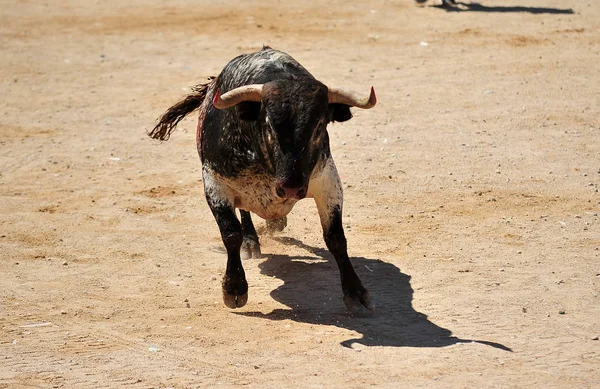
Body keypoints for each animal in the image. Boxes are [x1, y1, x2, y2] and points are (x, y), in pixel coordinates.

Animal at [149, 46, 376, 312]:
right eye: (268, 124)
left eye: (319, 125)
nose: (291, 188)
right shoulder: (215, 184)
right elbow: (231, 234)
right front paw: (234, 288)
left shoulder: (327, 181)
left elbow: (336, 237)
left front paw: (355, 292)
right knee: (244, 213)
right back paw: (252, 242)